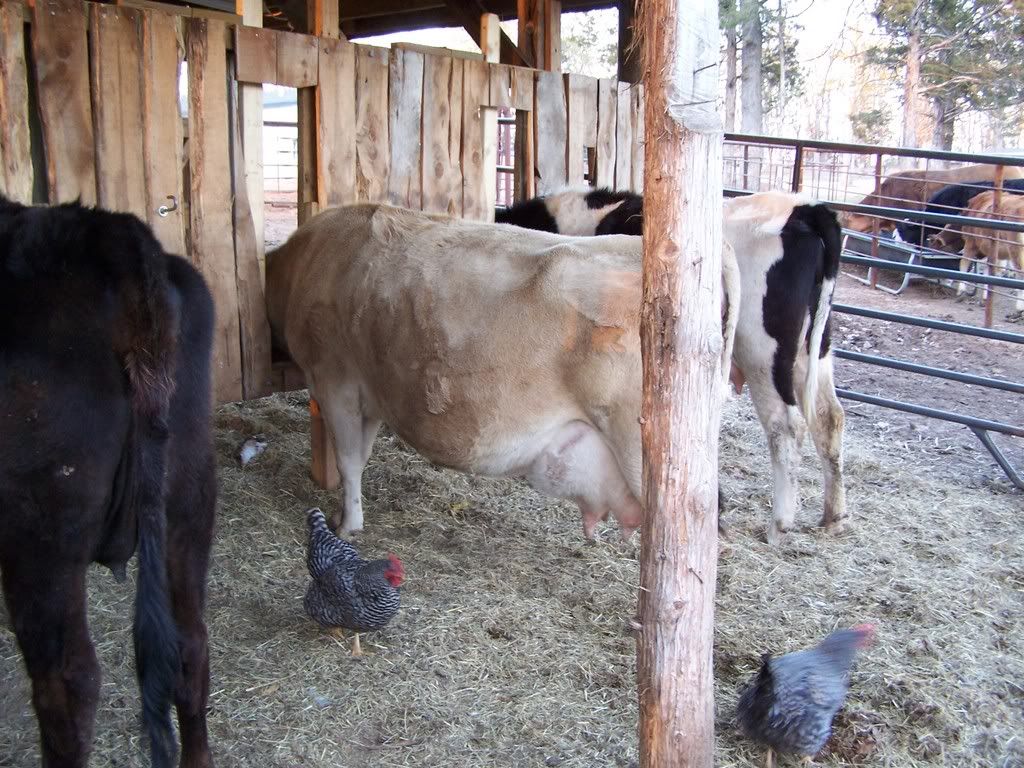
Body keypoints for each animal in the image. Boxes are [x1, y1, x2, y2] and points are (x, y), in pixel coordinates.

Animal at [266, 191, 843, 545]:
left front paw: (347, 524)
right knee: (825, 423)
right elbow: (359, 454)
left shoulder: (336, 381)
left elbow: (348, 460)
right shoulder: (367, 390)